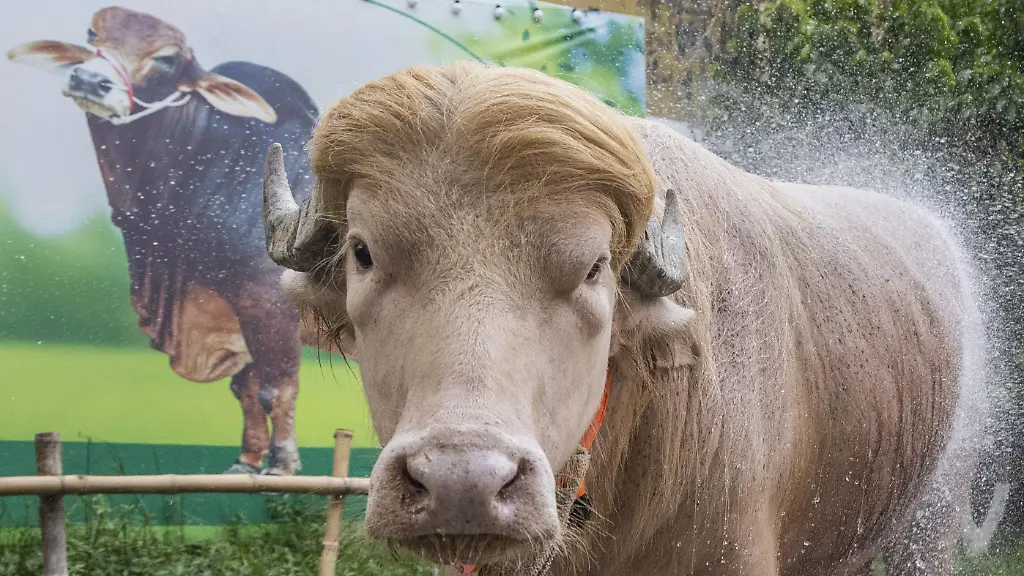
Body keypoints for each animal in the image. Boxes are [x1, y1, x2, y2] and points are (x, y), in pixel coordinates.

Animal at [7, 6, 319, 475]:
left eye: (167, 58)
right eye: (91, 33)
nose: (90, 80)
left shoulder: (268, 302)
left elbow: (276, 388)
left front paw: (282, 465)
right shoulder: (229, 310)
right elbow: (245, 389)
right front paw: (245, 463)